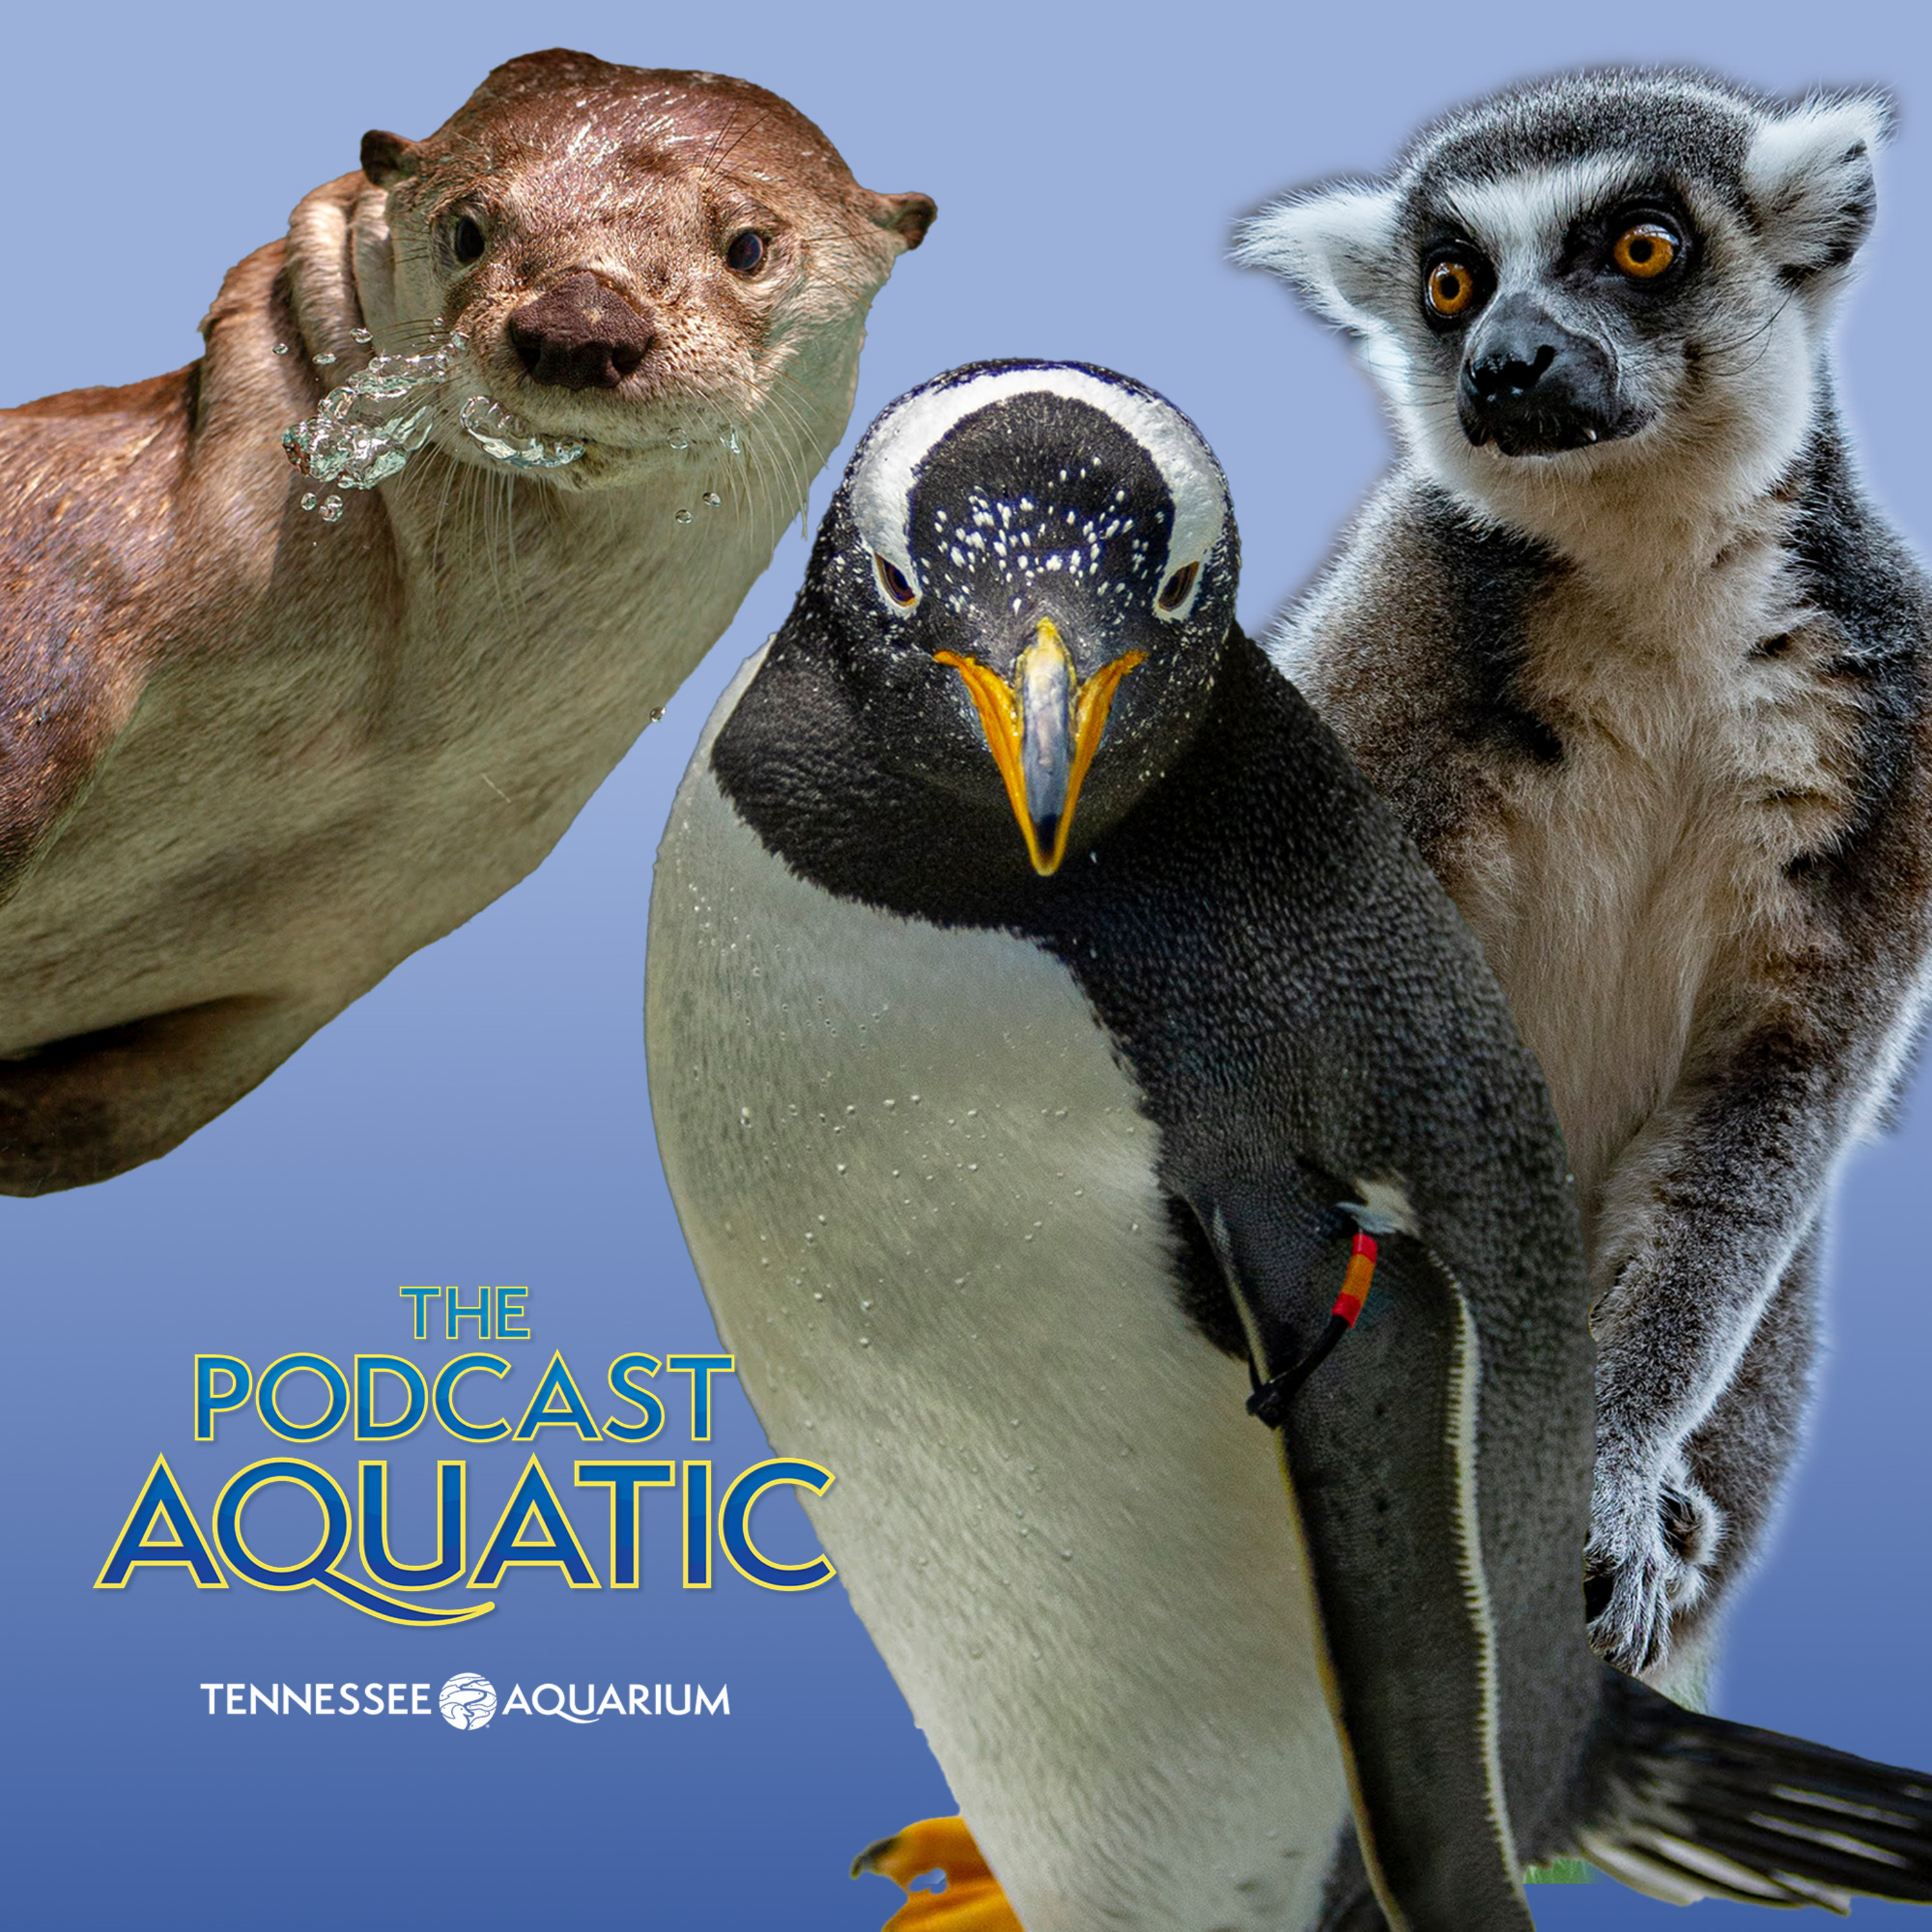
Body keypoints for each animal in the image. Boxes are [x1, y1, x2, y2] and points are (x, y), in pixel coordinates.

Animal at [0, 48, 932, 1194]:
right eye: (469, 229)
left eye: (748, 245)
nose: (580, 324)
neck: (387, 744)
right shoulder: (71, 585)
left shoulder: (317, 971)